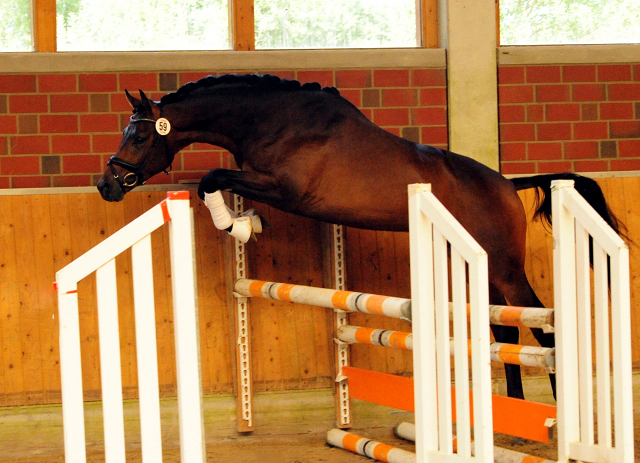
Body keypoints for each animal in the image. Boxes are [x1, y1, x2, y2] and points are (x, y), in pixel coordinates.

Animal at [96, 73, 624, 402]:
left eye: (139, 137)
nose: (106, 185)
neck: (273, 121)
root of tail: (508, 185)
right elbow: (215, 180)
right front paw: (246, 224)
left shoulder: (287, 189)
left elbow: (210, 178)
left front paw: (239, 225)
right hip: (483, 265)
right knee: (504, 332)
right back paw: (515, 409)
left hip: (506, 266)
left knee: (540, 327)